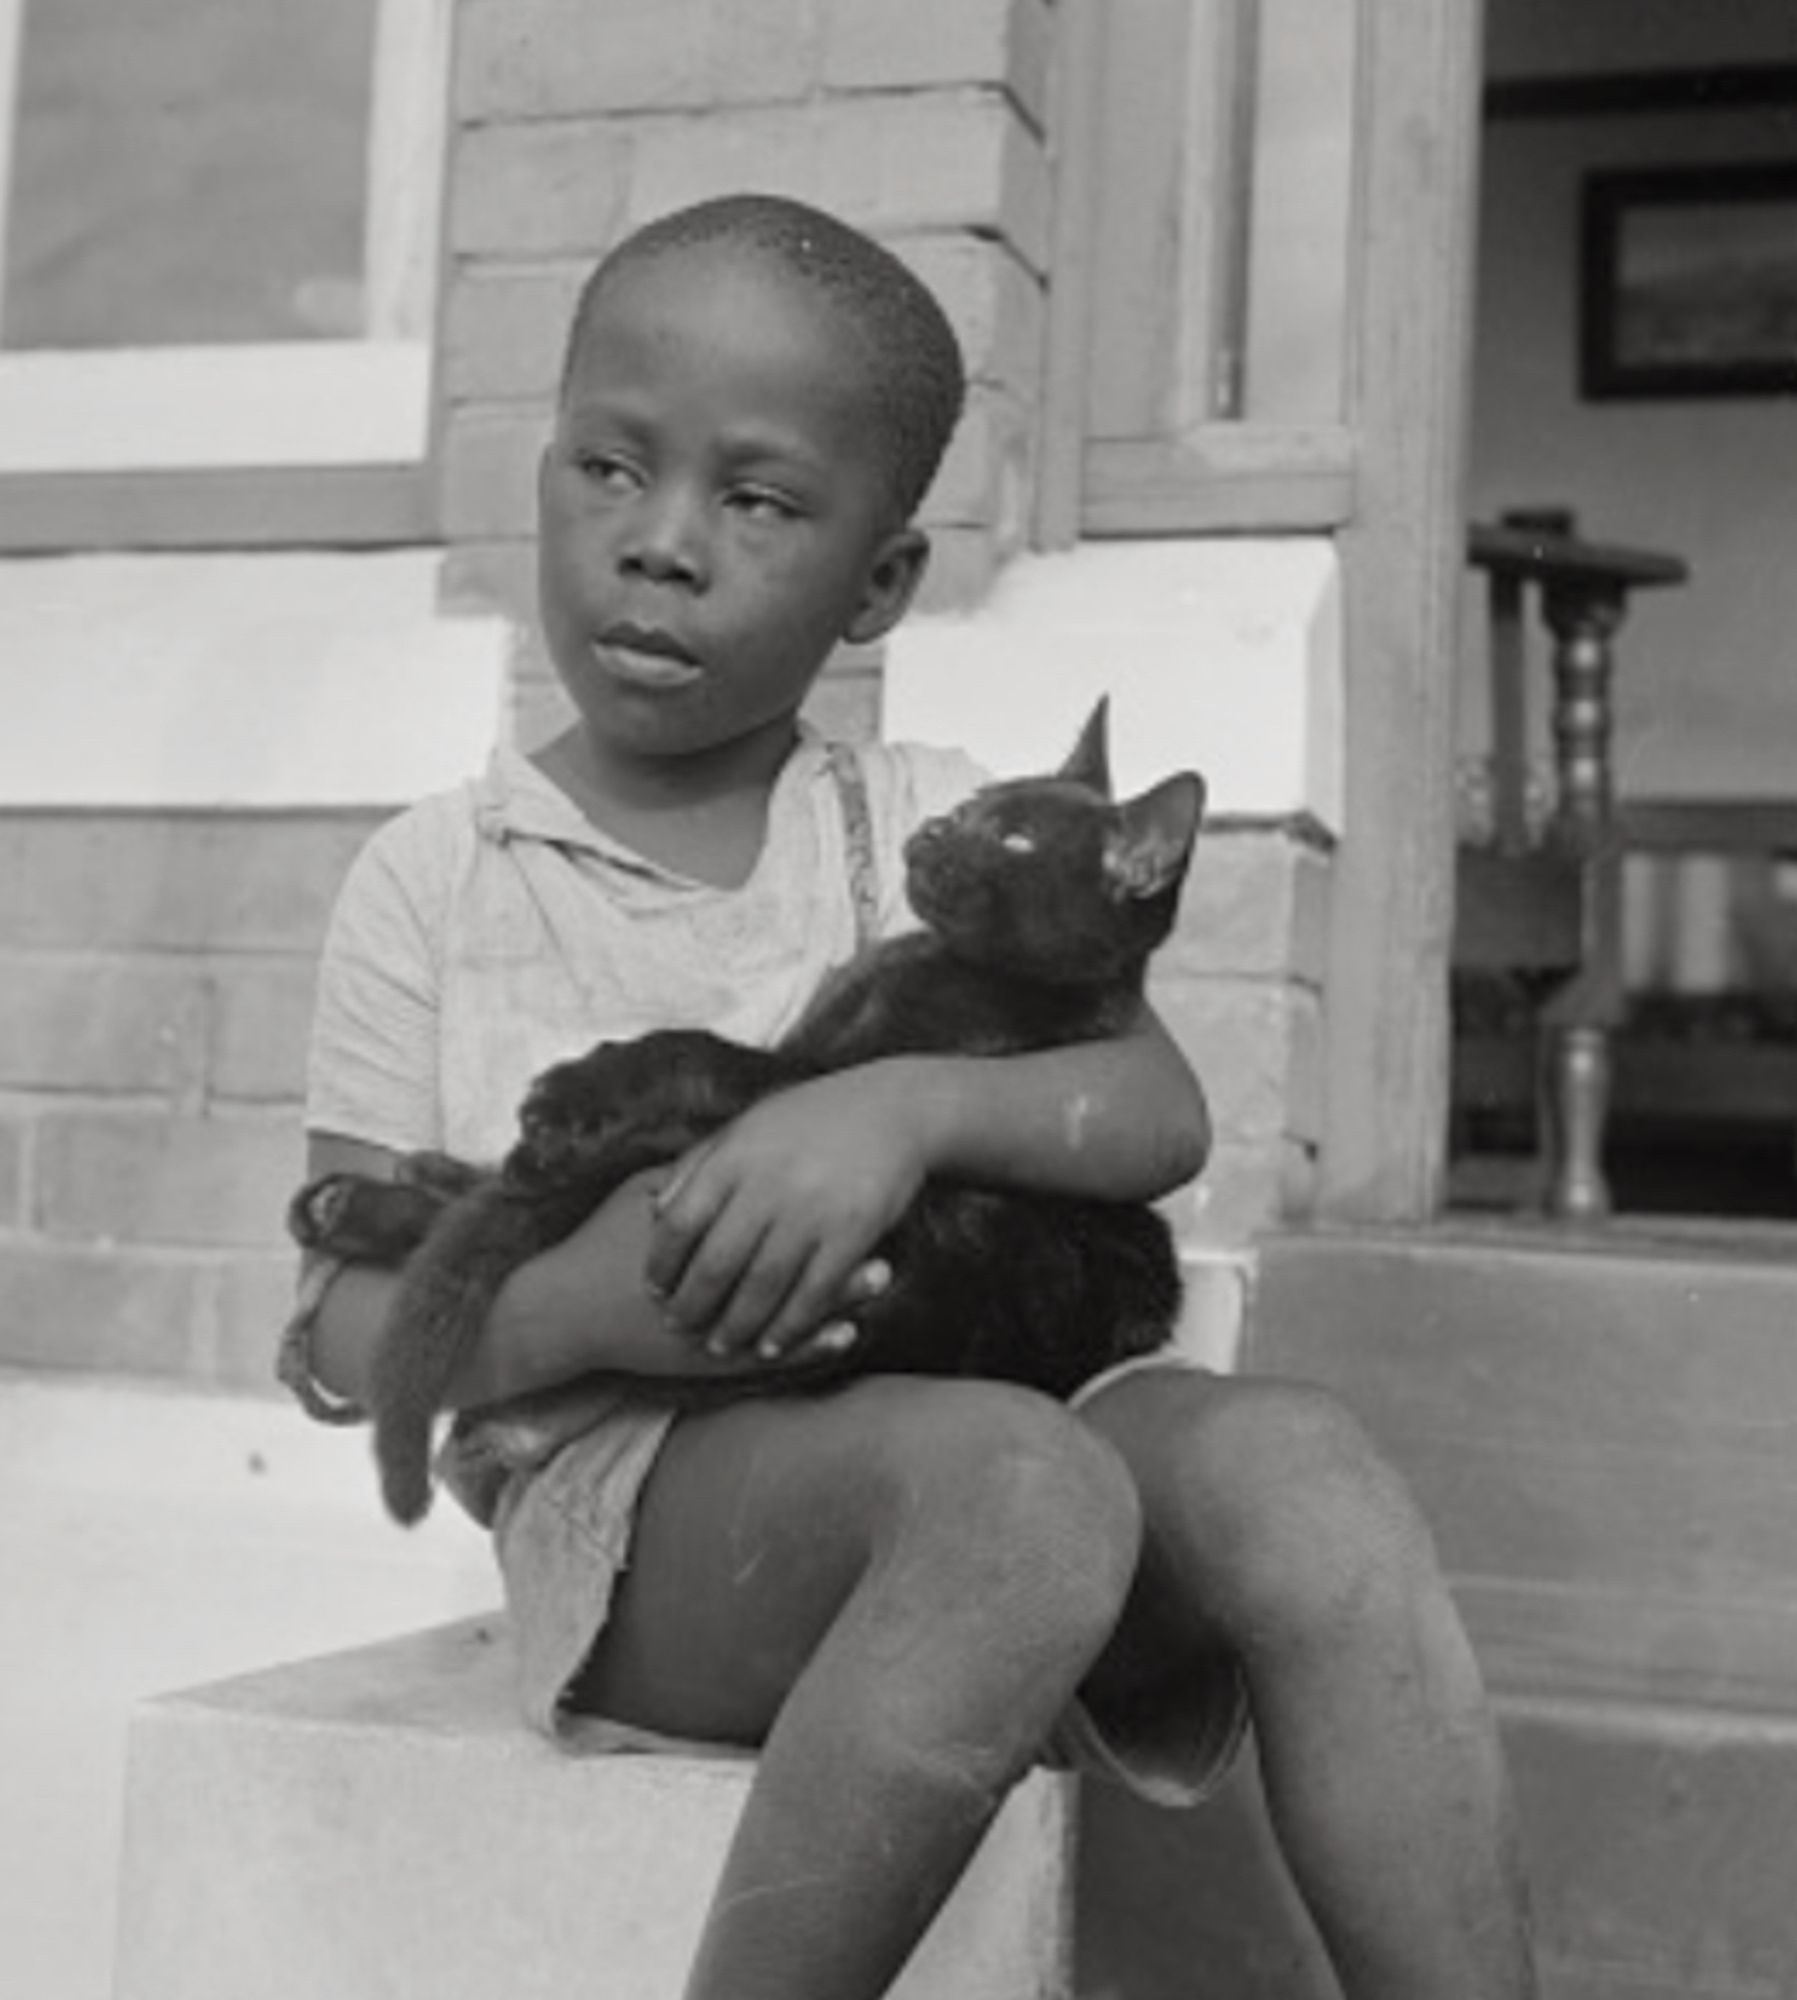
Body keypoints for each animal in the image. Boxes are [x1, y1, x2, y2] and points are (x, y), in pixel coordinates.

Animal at [290, 708, 1200, 1528]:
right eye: (974, 803)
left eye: (1013, 841)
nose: (937, 826)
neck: (946, 965)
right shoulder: (800, 1048)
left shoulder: (805, 1080)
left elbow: (688, 1049)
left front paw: (582, 1090)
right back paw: (370, 1196)